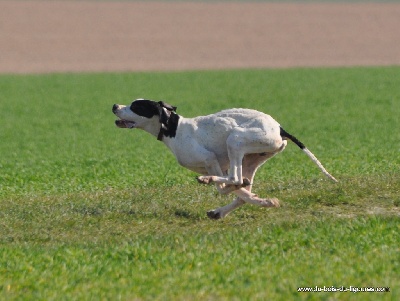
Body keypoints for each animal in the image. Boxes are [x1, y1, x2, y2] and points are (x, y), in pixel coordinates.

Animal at [112, 98, 338, 218]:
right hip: (249, 159)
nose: (114, 106)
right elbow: (241, 192)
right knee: (239, 184)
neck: (173, 128)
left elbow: (227, 187)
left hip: (235, 140)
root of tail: (279, 127)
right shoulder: (220, 164)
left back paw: (213, 183)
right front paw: (264, 201)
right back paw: (221, 209)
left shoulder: (211, 160)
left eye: (135, 106)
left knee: (234, 180)